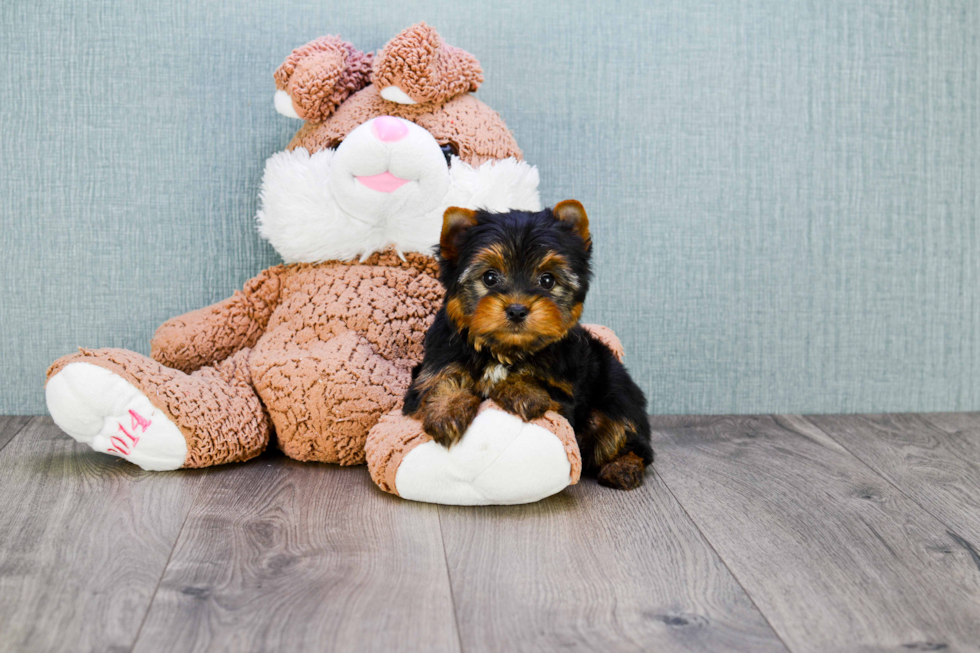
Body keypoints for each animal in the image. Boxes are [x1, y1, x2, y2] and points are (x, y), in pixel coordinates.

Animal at [402, 199, 656, 488]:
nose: (516, 310)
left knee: (625, 435)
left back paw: (623, 466)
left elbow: (543, 386)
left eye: (547, 280)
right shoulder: (434, 364)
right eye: (490, 277)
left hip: (615, 396)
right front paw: (446, 411)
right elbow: (439, 381)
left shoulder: (565, 393)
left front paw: (522, 389)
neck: (504, 350)